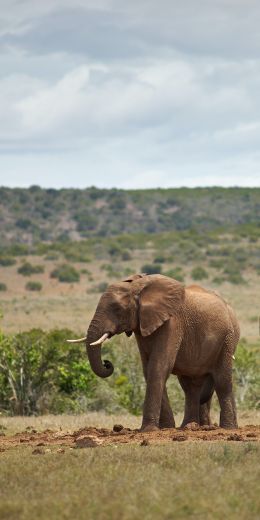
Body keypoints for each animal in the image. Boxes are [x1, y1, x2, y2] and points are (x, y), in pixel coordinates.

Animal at [67, 274, 240, 432]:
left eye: (117, 309)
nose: (107, 363)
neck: (139, 287)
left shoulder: (172, 323)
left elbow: (158, 367)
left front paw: (148, 430)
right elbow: (148, 370)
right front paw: (166, 428)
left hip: (227, 340)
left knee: (222, 381)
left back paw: (228, 428)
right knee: (191, 386)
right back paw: (189, 426)